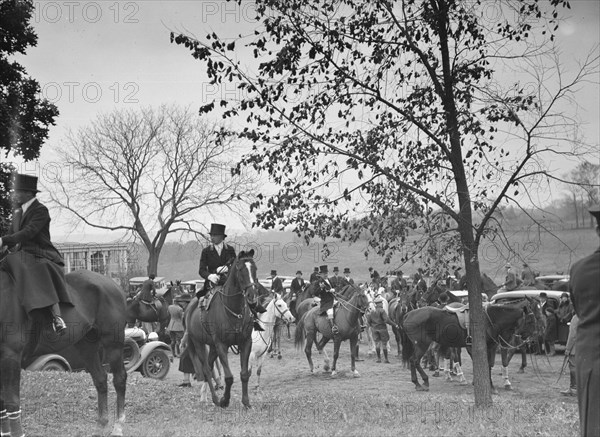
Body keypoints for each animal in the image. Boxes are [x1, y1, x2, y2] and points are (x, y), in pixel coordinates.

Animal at [0, 270, 127, 436]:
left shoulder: (11, 356)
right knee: (100, 378)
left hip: (113, 344)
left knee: (119, 379)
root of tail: (112, 283)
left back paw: (118, 426)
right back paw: (101, 424)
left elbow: (12, 401)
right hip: (86, 346)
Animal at [185, 250, 260, 408]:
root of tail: (189, 307)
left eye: (255, 268)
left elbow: (244, 374)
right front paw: (225, 400)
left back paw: (205, 396)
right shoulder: (221, 345)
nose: (252, 297)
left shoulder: (245, 343)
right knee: (207, 370)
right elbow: (229, 377)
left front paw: (246, 402)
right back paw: (215, 399)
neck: (233, 309)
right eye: (240, 269)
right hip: (198, 343)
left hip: (212, 346)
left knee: (209, 365)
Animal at [404, 298, 544, 394]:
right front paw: (490, 386)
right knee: (415, 360)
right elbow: (486, 364)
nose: (534, 338)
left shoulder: (492, 346)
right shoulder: (481, 347)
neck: (489, 319)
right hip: (422, 344)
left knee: (416, 360)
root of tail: (408, 314)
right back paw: (423, 381)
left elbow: (490, 364)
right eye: (531, 320)